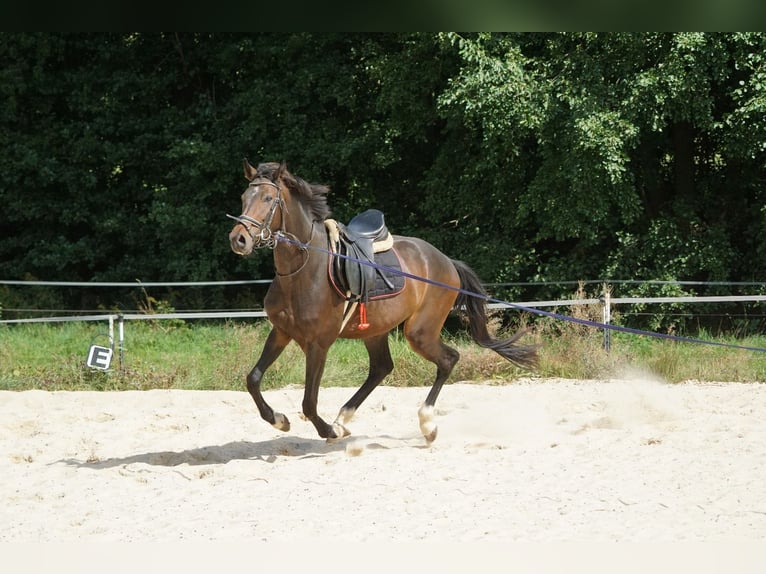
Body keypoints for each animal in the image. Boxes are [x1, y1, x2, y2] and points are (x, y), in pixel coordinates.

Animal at [230, 162, 540, 446]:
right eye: (244, 197)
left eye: (268, 199)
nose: (238, 239)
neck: (305, 270)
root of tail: (446, 261)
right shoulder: (281, 332)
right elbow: (253, 379)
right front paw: (279, 420)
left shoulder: (319, 343)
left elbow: (309, 402)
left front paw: (327, 431)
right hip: (375, 330)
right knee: (382, 368)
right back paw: (343, 419)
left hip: (419, 332)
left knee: (448, 359)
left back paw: (426, 424)